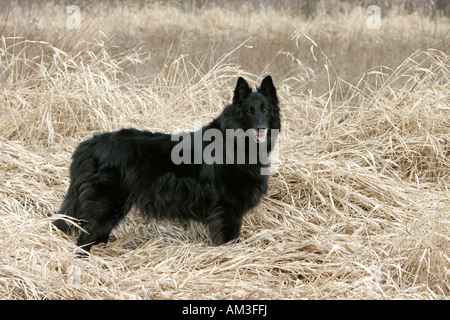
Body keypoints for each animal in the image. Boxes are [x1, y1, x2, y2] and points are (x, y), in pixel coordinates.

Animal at [54, 75, 280, 252]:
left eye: (265, 109)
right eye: (249, 111)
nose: (261, 128)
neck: (235, 143)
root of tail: (87, 146)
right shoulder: (228, 213)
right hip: (105, 206)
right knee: (84, 240)